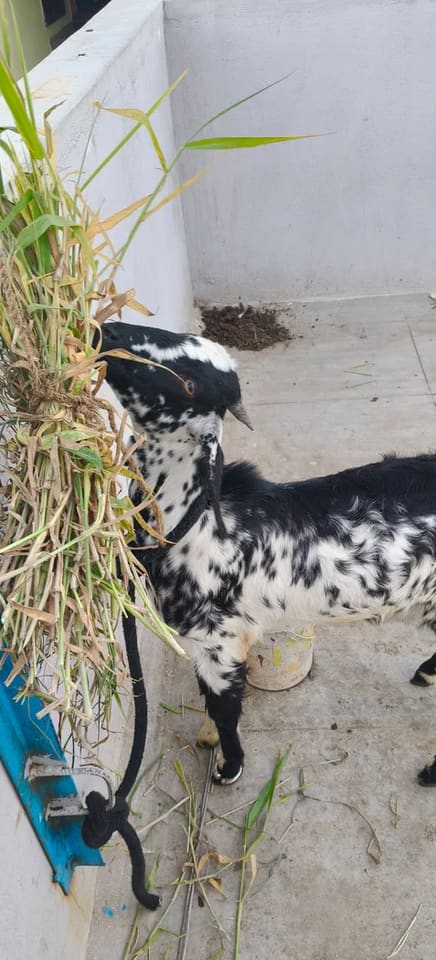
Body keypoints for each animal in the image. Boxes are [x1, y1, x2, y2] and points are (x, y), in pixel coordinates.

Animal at [101, 320, 436, 786]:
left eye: (188, 384)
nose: (108, 330)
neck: (197, 522)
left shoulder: (218, 641)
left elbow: (224, 708)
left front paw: (228, 766)